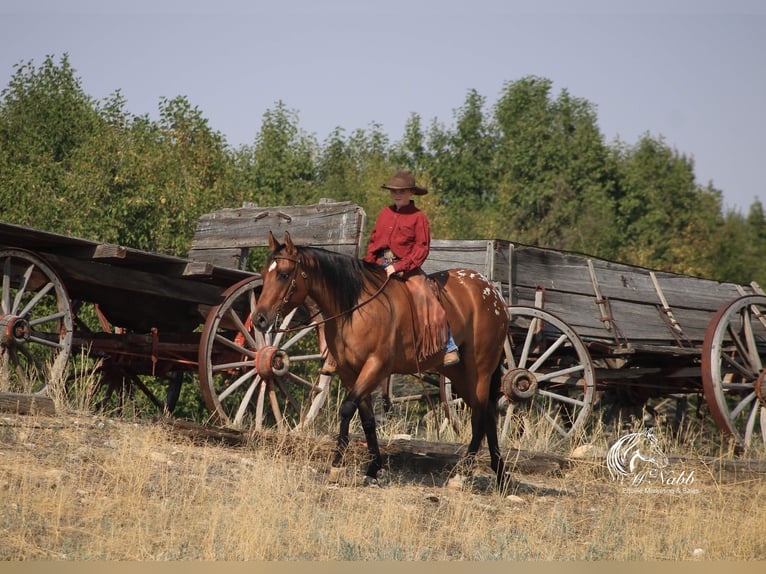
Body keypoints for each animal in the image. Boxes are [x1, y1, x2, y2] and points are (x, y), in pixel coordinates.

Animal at [254, 232, 516, 488]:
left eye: (283, 274)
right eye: (264, 274)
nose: (259, 319)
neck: (354, 309)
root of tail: (492, 293)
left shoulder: (375, 366)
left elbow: (347, 409)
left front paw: (337, 467)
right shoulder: (350, 373)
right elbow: (367, 419)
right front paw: (372, 468)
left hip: (480, 368)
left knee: (480, 414)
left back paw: (462, 474)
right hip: (458, 373)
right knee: (487, 412)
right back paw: (500, 474)